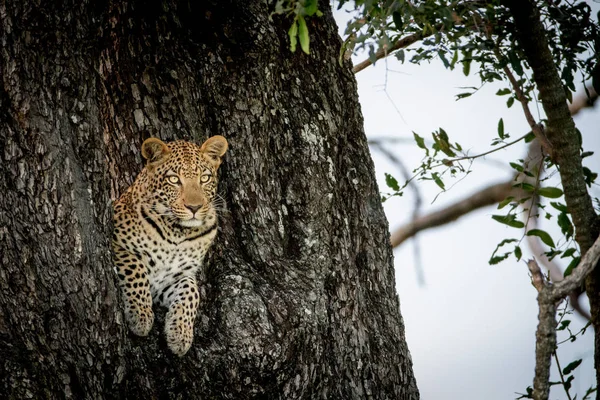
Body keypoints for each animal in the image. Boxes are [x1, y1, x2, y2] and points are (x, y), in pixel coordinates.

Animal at [112, 135, 227, 356]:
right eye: (174, 180)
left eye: (204, 178)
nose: (194, 207)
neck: (177, 234)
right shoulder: (117, 244)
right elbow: (136, 268)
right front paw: (141, 316)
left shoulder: (175, 277)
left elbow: (192, 291)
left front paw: (180, 334)